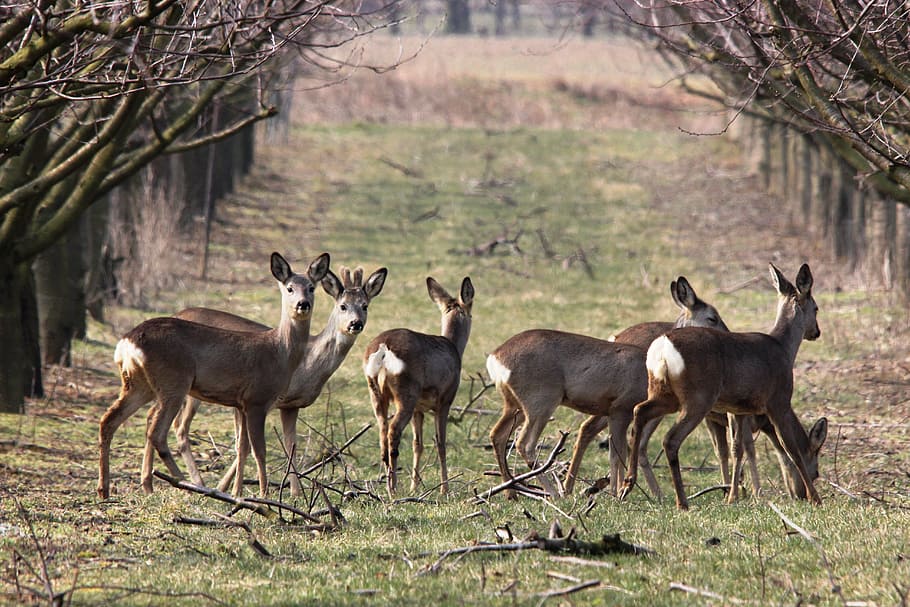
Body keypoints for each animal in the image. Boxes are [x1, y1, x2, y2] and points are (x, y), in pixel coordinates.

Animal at [97, 251, 330, 499]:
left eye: (311, 287)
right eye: (289, 288)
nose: (303, 304)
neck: (279, 352)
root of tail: (127, 342)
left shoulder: (241, 404)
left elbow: (242, 447)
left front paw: (239, 492)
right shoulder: (256, 399)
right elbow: (260, 450)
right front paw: (263, 494)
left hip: (139, 384)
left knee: (109, 420)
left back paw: (105, 489)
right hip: (174, 382)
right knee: (157, 432)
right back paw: (189, 485)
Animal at [171, 265, 387, 496]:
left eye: (365, 306)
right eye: (343, 306)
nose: (355, 324)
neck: (306, 365)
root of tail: (177, 313)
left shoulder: (290, 405)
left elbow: (289, 446)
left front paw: (296, 492)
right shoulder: (253, 400)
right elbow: (244, 446)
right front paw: (227, 487)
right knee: (180, 427)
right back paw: (197, 483)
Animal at [363, 276, 474, 496]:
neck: (454, 348)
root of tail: (383, 349)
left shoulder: (419, 409)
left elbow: (418, 444)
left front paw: (414, 486)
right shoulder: (445, 400)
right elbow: (441, 443)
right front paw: (445, 488)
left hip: (376, 393)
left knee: (382, 433)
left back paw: (389, 485)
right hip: (406, 392)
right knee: (393, 431)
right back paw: (393, 488)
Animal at [487, 276, 728, 499]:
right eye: (712, 317)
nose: (726, 335)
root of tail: (495, 357)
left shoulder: (614, 411)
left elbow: (617, 451)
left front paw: (616, 491)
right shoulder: (622, 407)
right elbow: (617, 453)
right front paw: (616, 493)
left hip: (514, 405)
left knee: (498, 435)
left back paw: (513, 492)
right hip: (541, 400)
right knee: (524, 443)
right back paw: (554, 493)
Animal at [620, 263, 829, 510]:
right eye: (816, 308)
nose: (816, 332)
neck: (783, 348)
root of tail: (662, 346)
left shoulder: (739, 408)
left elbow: (737, 448)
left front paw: (734, 494)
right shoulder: (778, 401)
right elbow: (792, 449)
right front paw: (816, 498)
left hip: (664, 392)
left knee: (639, 411)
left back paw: (627, 484)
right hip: (698, 397)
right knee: (670, 439)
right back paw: (682, 502)